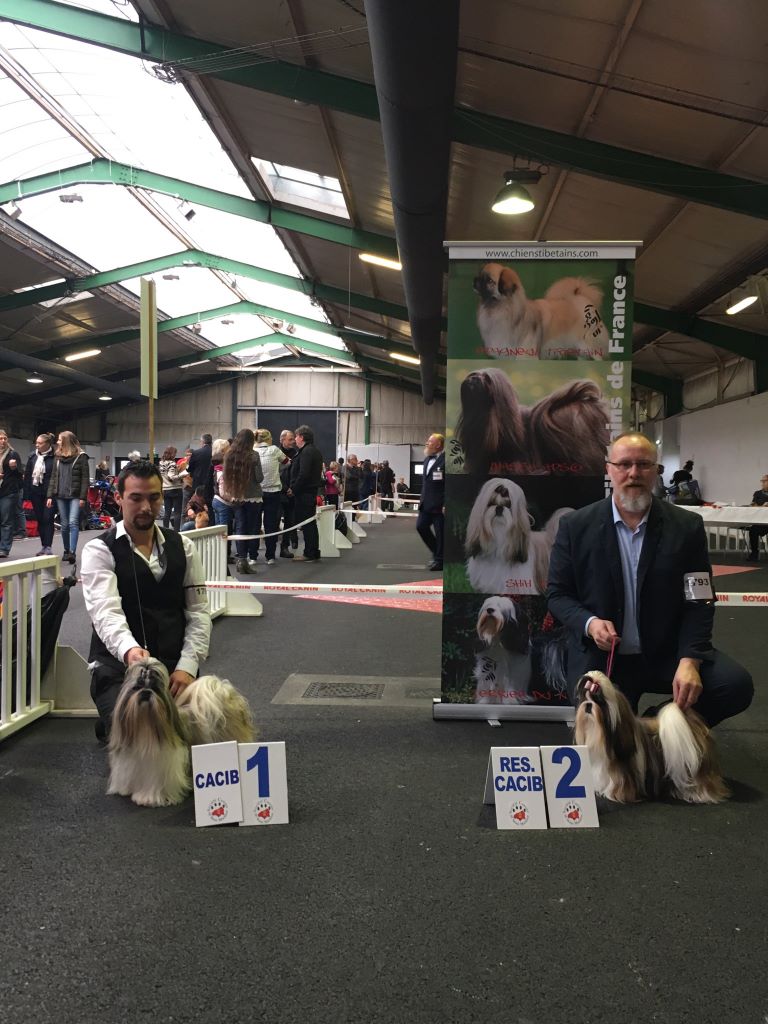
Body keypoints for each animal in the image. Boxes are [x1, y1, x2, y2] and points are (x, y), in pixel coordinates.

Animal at [108, 655, 256, 806]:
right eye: (137, 687)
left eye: (155, 689)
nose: (146, 692)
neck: (145, 728)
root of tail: (225, 693)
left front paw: (147, 798)